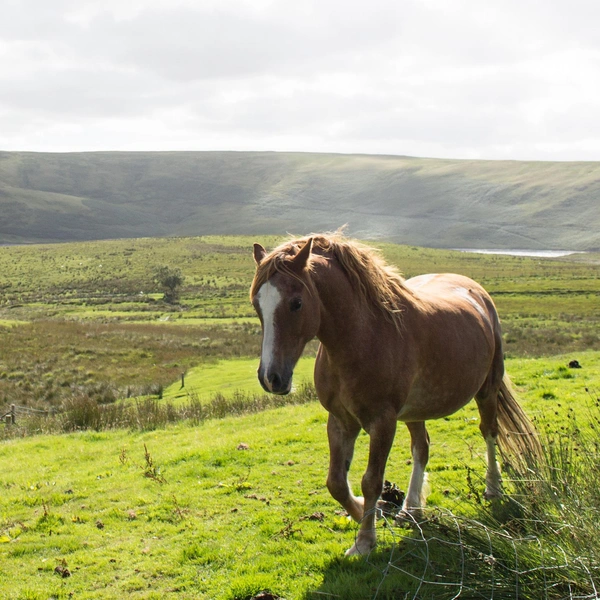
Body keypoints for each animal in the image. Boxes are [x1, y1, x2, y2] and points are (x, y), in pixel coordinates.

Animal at [248, 232, 540, 556]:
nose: (270, 378)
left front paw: (364, 540)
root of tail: (476, 291)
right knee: (422, 448)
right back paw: (411, 509)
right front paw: (363, 511)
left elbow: (371, 481)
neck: (361, 337)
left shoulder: (382, 422)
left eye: (296, 303)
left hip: (487, 389)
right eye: (257, 305)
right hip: (416, 410)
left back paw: (492, 488)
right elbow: (336, 482)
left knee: (489, 432)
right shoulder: (340, 420)